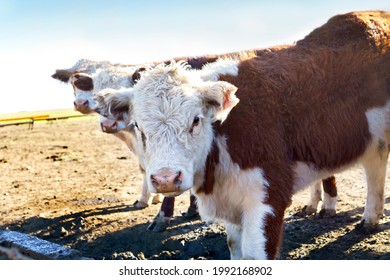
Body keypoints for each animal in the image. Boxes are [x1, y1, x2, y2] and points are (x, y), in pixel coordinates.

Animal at [94, 10, 390, 260]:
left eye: (196, 120)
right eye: (138, 126)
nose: (166, 179)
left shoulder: (268, 197)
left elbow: (254, 254)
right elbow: (235, 249)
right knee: (375, 169)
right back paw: (370, 219)